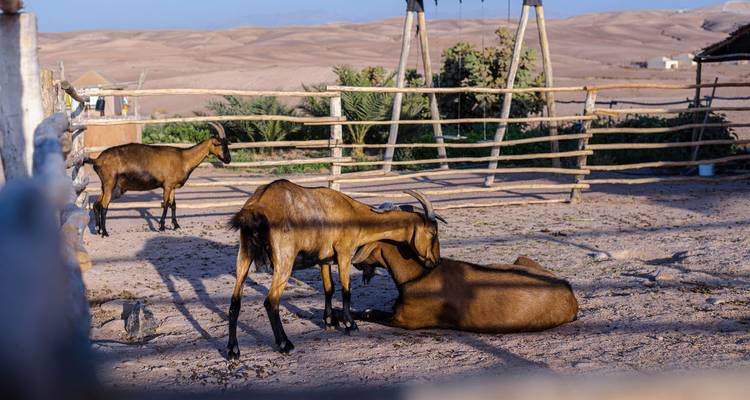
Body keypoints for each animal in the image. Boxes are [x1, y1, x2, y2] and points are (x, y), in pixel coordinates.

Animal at [85, 123, 230, 236]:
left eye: (227, 144)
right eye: (219, 144)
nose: (228, 160)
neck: (183, 158)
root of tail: (97, 160)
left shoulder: (172, 186)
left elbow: (173, 205)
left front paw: (176, 225)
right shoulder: (167, 185)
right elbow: (165, 205)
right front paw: (161, 226)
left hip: (106, 186)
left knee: (96, 204)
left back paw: (98, 230)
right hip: (110, 183)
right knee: (104, 206)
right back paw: (105, 232)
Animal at [226, 180, 444, 357]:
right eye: (433, 232)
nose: (435, 262)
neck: (353, 213)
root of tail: (257, 206)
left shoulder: (324, 260)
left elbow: (328, 289)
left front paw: (330, 321)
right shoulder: (344, 253)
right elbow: (346, 290)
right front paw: (350, 324)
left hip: (244, 254)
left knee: (235, 302)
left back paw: (233, 350)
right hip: (284, 259)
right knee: (271, 301)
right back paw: (285, 344)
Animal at [351, 239, 578, 333]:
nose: (355, 263)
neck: (421, 273)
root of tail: (568, 290)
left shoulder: (403, 320)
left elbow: (365, 312)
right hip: (521, 259)